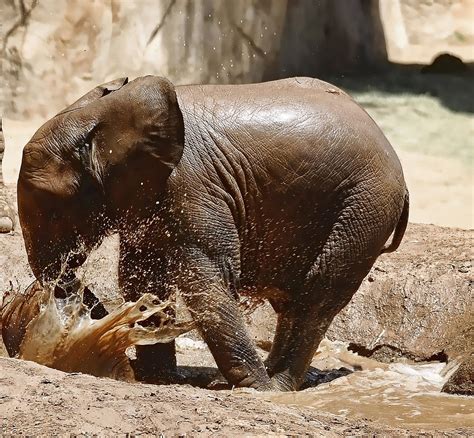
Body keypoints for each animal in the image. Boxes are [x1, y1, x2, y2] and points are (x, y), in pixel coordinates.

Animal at [15, 75, 408, 390]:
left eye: (53, 209)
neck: (102, 115)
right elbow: (142, 278)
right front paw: (159, 378)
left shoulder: (191, 187)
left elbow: (206, 279)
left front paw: (253, 389)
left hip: (364, 207)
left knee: (316, 296)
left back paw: (275, 387)